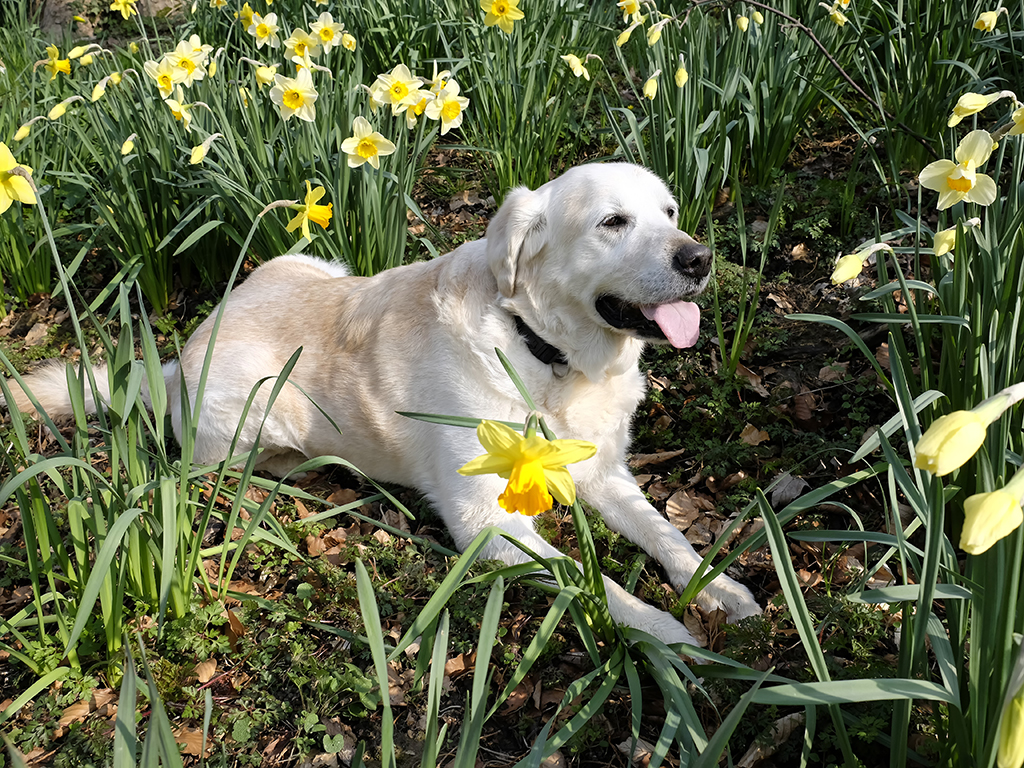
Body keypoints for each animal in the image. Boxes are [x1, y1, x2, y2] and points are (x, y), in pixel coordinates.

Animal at [8, 163, 761, 651]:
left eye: (668, 212)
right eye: (613, 222)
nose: (700, 258)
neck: (543, 350)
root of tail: (185, 349)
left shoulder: (605, 473)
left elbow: (668, 535)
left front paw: (722, 589)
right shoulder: (486, 522)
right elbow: (586, 574)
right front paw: (666, 632)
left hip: (318, 263)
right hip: (256, 405)